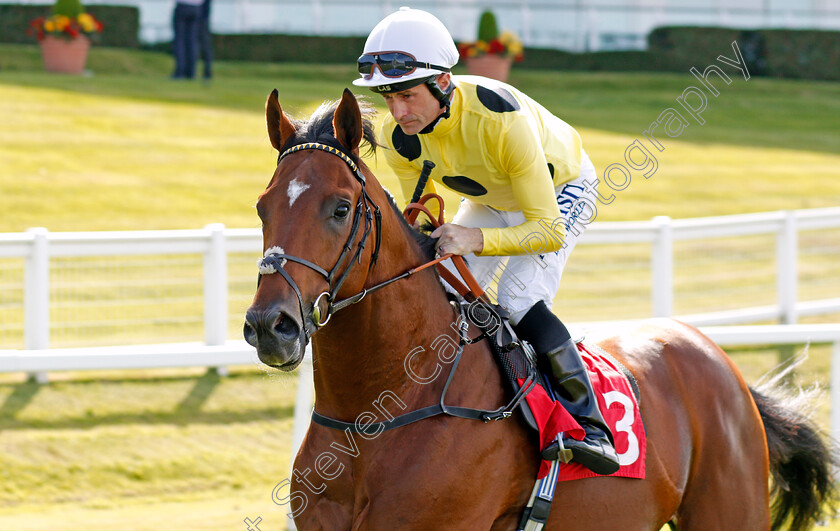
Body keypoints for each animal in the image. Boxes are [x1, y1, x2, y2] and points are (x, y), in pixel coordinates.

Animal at [243, 89, 832, 528]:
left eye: (340, 208)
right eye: (262, 206)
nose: (271, 326)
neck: (381, 410)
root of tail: (722, 361)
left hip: (728, 510)